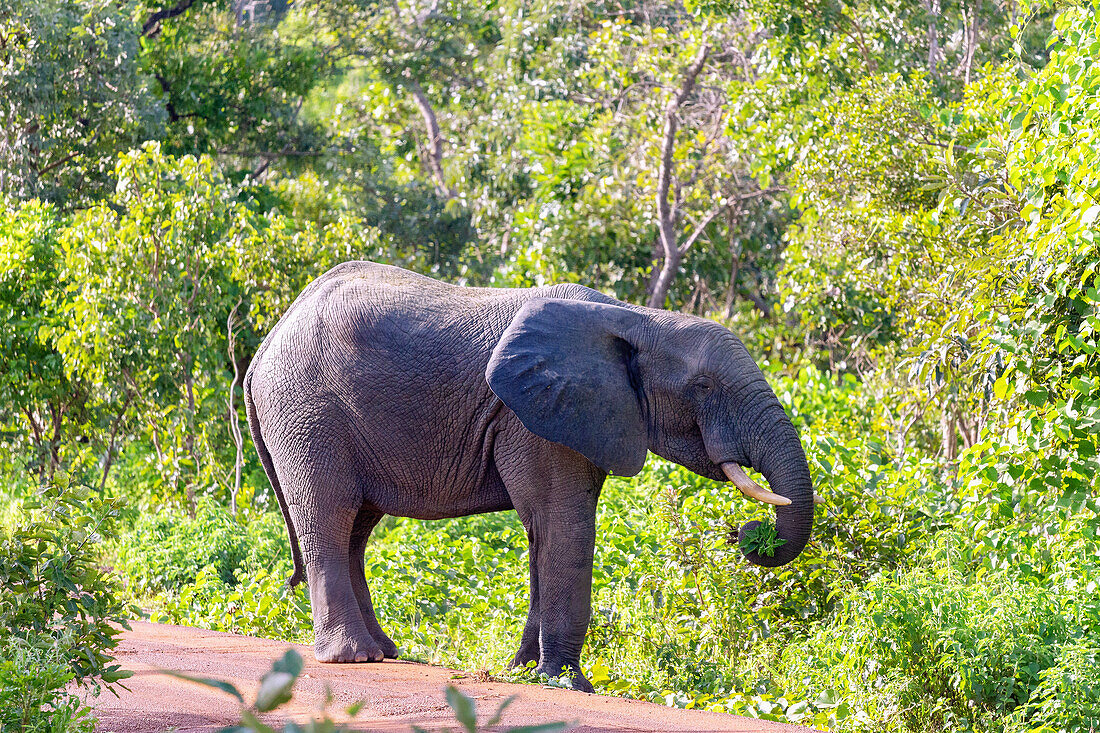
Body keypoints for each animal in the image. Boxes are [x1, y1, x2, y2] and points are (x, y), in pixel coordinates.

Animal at [247, 258, 818, 691]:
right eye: (703, 387)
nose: (746, 534)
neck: (635, 320)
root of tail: (264, 347)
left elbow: (544, 532)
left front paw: (524, 671)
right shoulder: (535, 417)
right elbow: (563, 525)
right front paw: (569, 683)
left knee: (357, 529)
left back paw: (382, 651)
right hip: (307, 413)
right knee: (331, 517)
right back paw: (352, 657)